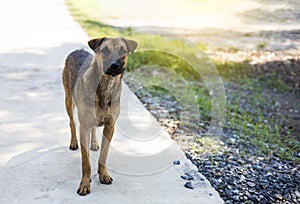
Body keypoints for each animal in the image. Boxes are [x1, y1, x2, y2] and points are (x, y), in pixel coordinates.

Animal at [63, 37, 138, 195]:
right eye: (105, 50)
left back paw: (94, 143)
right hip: (69, 101)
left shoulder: (110, 126)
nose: (114, 65)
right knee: (72, 122)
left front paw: (103, 174)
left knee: (93, 128)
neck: (107, 84)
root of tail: (78, 50)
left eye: (123, 51)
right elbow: (86, 162)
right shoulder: (84, 127)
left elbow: (104, 154)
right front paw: (85, 183)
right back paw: (73, 142)